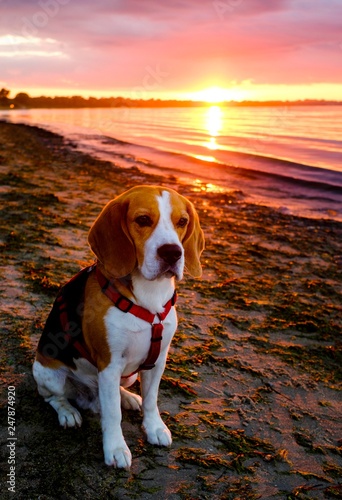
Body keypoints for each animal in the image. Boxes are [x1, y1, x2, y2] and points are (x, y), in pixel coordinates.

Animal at [32, 185, 204, 468]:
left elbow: (152, 399)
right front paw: (115, 448)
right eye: (143, 220)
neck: (149, 297)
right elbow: (113, 415)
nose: (172, 253)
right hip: (48, 373)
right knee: (54, 397)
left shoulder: (158, 360)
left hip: (128, 374)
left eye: (182, 222)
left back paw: (128, 397)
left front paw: (154, 427)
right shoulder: (109, 364)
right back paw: (69, 413)